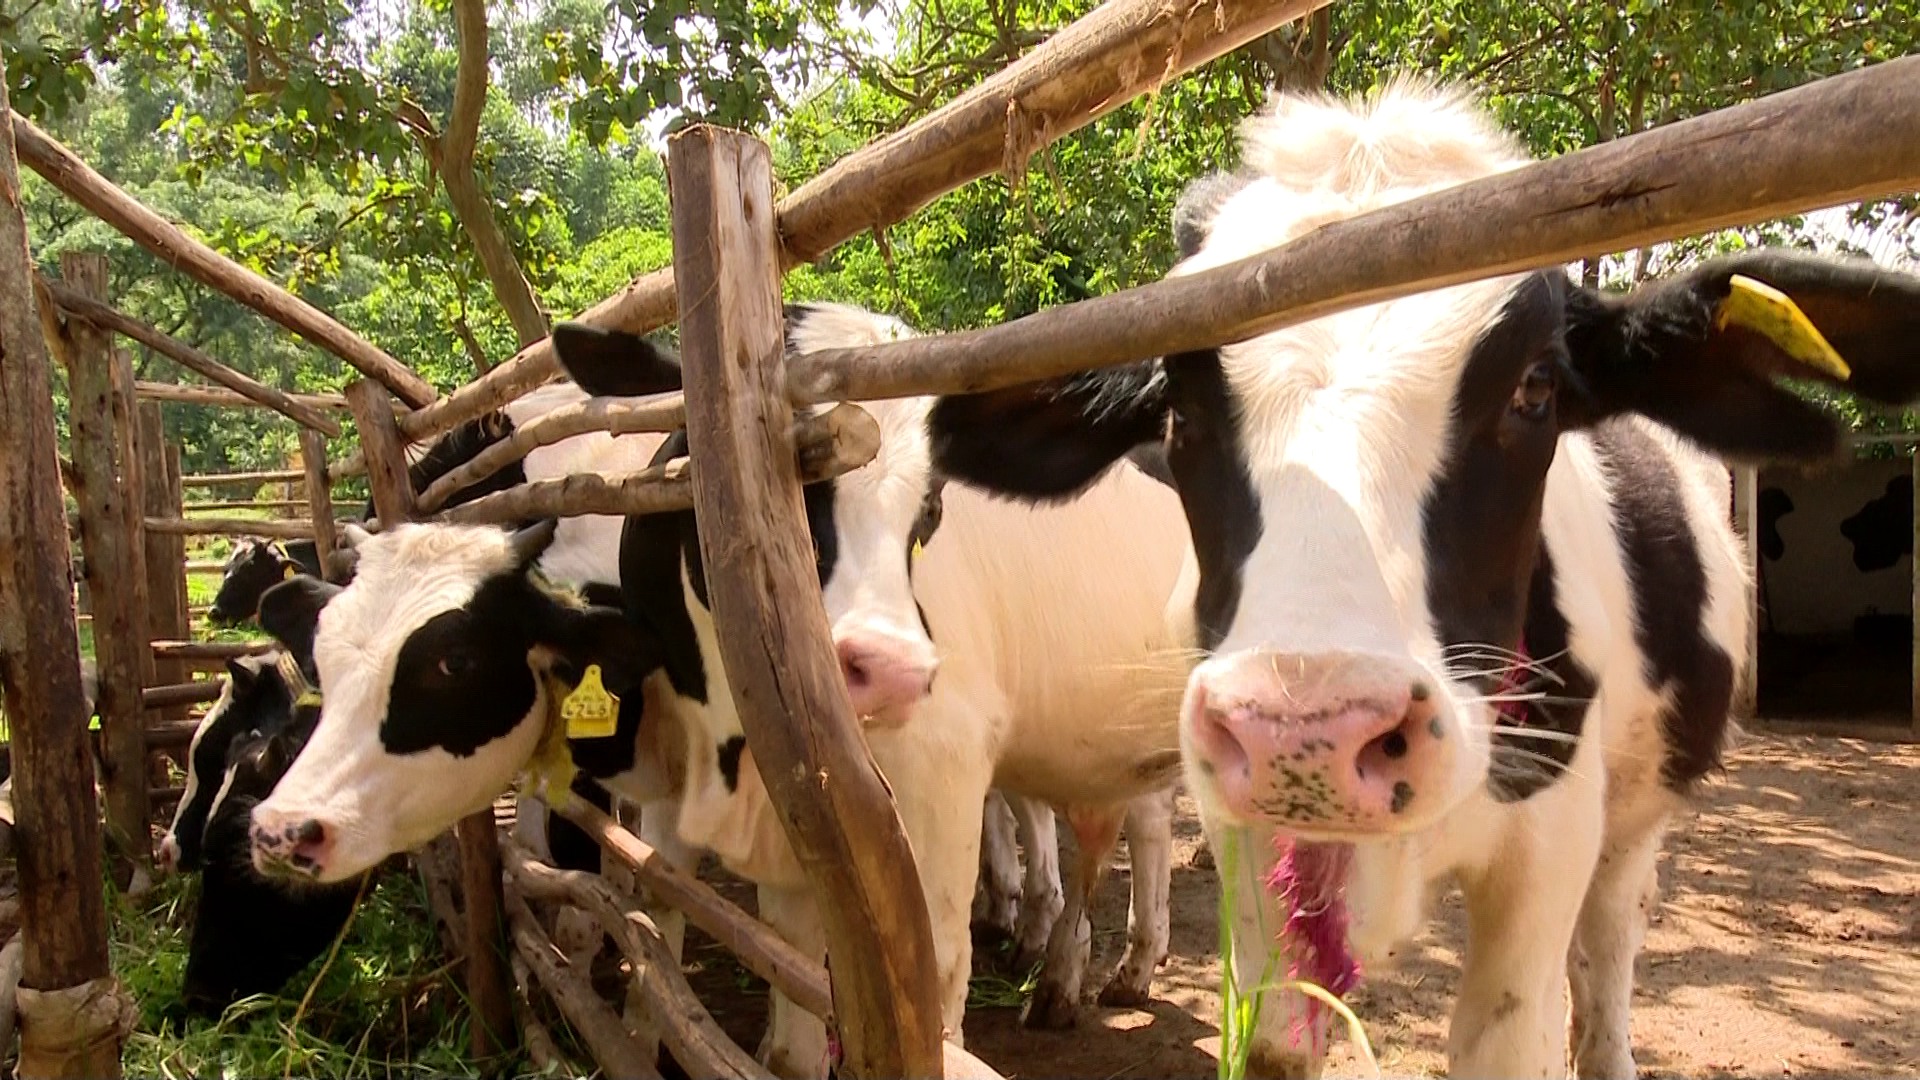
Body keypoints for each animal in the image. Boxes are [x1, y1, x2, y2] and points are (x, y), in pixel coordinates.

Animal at [240, 303, 1196, 1076]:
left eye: (452, 661)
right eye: (325, 657)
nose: (285, 828)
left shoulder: (940, 780)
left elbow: (939, 989)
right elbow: (679, 929)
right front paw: (642, 1031)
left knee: (1137, 833)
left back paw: (1103, 968)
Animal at [923, 80, 1920, 1078]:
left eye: (1536, 389)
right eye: (1178, 409)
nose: (1304, 732)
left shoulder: (1550, 846)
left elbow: (1510, 1030)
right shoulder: (1249, 843)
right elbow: (1275, 1038)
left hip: (1639, 811)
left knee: (1608, 947)